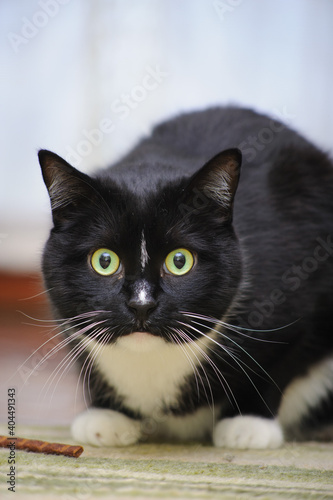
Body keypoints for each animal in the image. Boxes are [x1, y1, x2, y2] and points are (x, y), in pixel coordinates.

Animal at [37, 106, 332, 450]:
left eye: (180, 261)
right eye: (104, 261)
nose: (141, 305)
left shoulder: (302, 294)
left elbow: (278, 362)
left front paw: (247, 424)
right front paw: (108, 416)